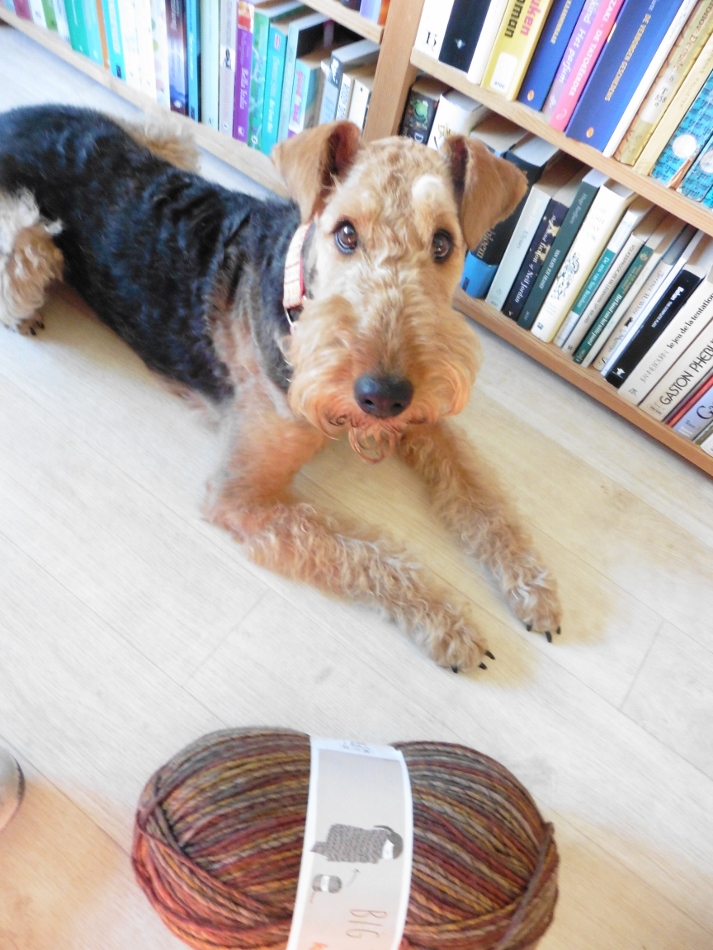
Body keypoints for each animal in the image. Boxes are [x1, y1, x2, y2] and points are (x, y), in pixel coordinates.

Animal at [0, 105, 561, 672]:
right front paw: (448, 624)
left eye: (443, 243)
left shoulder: (424, 416)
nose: (382, 395)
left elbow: (478, 492)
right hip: (29, 245)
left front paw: (534, 588)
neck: (297, 300)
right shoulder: (239, 495)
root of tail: (14, 116)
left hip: (172, 138)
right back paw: (26, 319)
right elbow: (361, 552)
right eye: (345, 234)